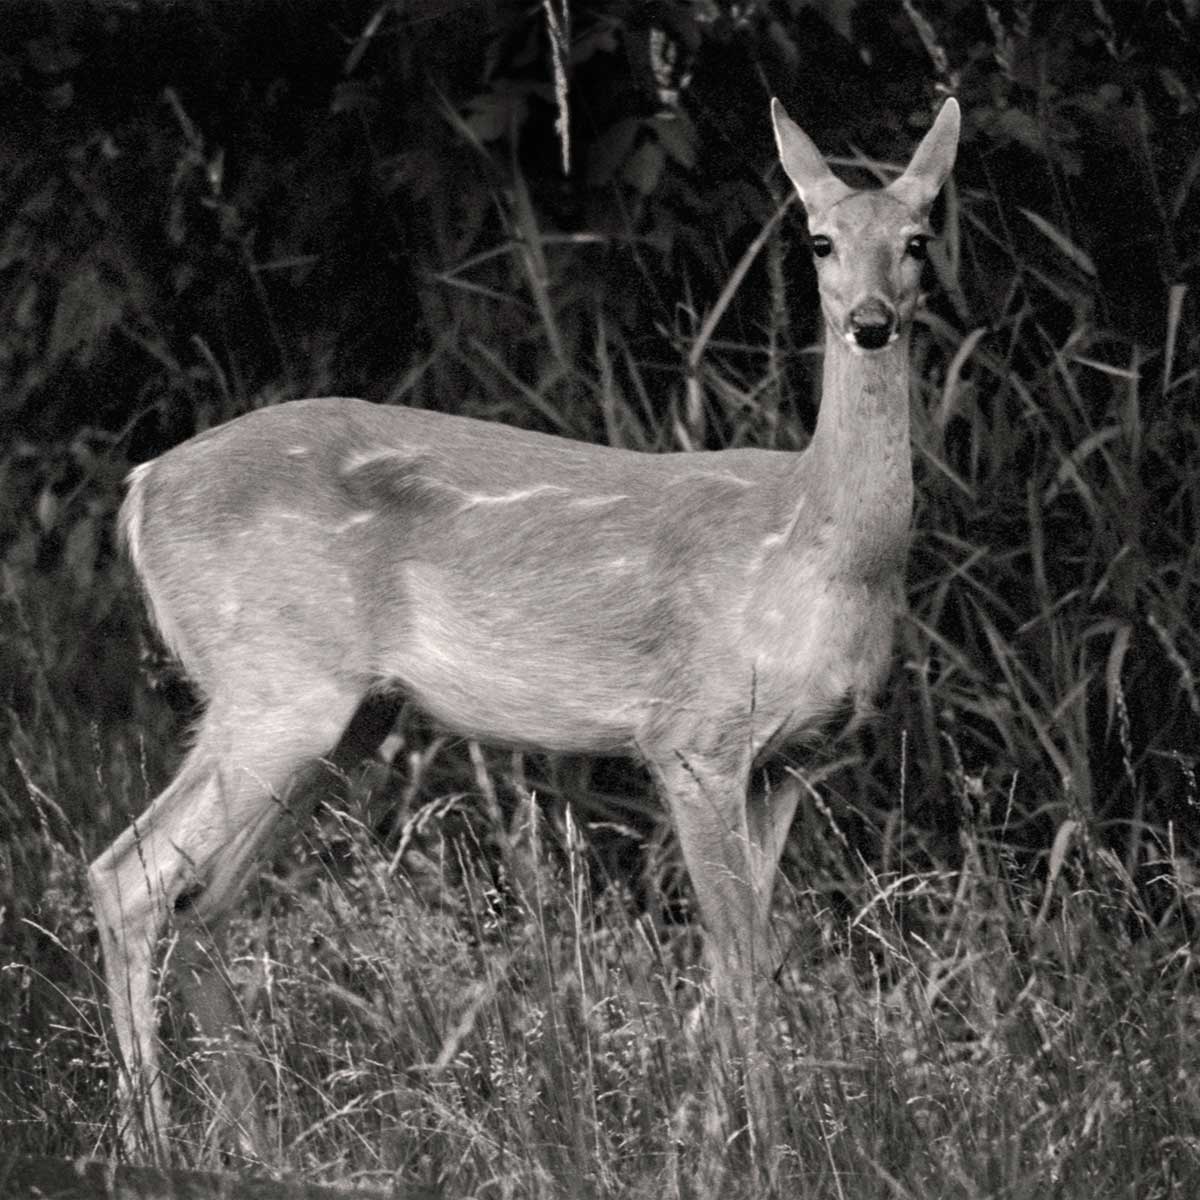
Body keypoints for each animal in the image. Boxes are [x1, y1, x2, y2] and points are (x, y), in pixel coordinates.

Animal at [88, 98, 960, 1156]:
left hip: (346, 718)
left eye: (918, 240)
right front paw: (772, 1151)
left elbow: (744, 952)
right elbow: (740, 951)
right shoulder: (692, 735)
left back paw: (258, 1143)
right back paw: (153, 1143)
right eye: (820, 240)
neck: (817, 547)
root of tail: (141, 491)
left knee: (204, 899)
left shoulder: (792, 760)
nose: (870, 322)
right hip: (275, 683)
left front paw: (710, 1140)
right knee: (127, 877)